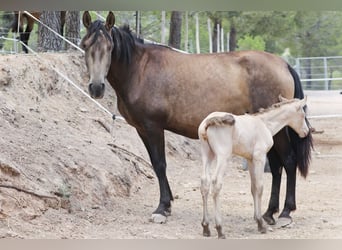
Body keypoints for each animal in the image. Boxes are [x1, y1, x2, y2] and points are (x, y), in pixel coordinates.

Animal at [198, 95, 310, 238]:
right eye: (303, 114)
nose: (306, 132)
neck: (264, 124)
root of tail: (208, 121)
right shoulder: (259, 157)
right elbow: (260, 187)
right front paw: (261, 224)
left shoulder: (250, 160)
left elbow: (253, 188)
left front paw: (257, 220)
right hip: (223, 156)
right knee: (216, 183)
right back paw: (220, 228)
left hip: (207, 155)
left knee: (204, 184)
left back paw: (206, 227)